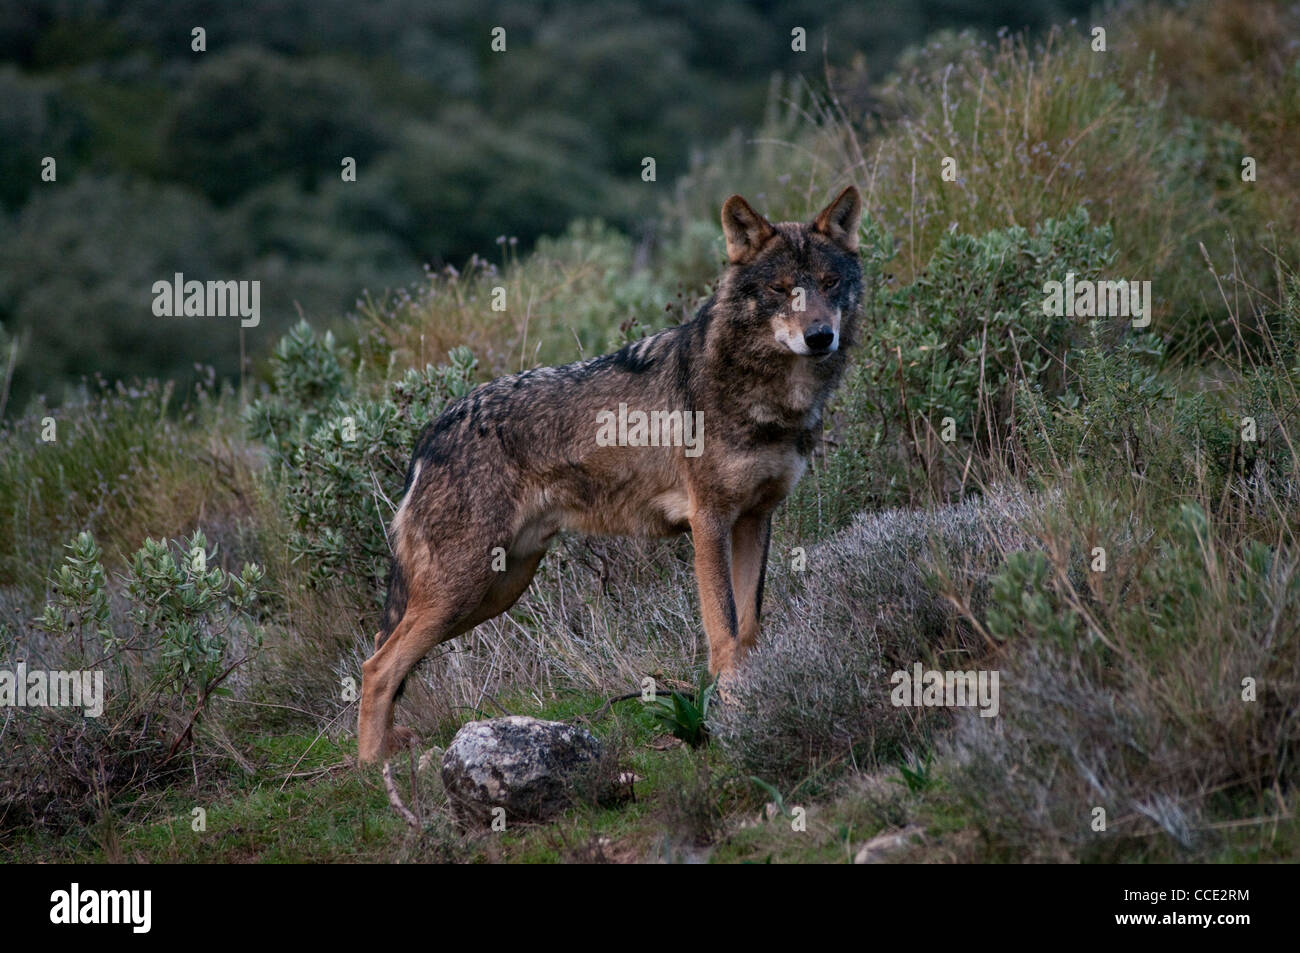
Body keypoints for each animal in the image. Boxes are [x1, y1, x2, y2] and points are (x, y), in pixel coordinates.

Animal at [356, 189, 863, 764]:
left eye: (829, 282)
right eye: (781, 290)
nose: (820, 337)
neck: (770, 401)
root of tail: (431, 433)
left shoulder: (756, 519)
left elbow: (749, 629)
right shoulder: (709, 523)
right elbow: (724, 631)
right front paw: (734, 707)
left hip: (497, 590)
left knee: (383, 658)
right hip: (462, 590)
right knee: (377, 668)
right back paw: (372, 768)